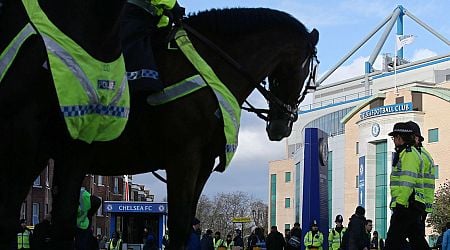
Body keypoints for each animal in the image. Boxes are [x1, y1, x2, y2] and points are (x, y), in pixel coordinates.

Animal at [0, 2, 318, 250]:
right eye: (308, 73)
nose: (281, 126)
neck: (211, 69)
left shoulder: (202, 164)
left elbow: (185, 227)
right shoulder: (183, 158)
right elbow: (177, 227)